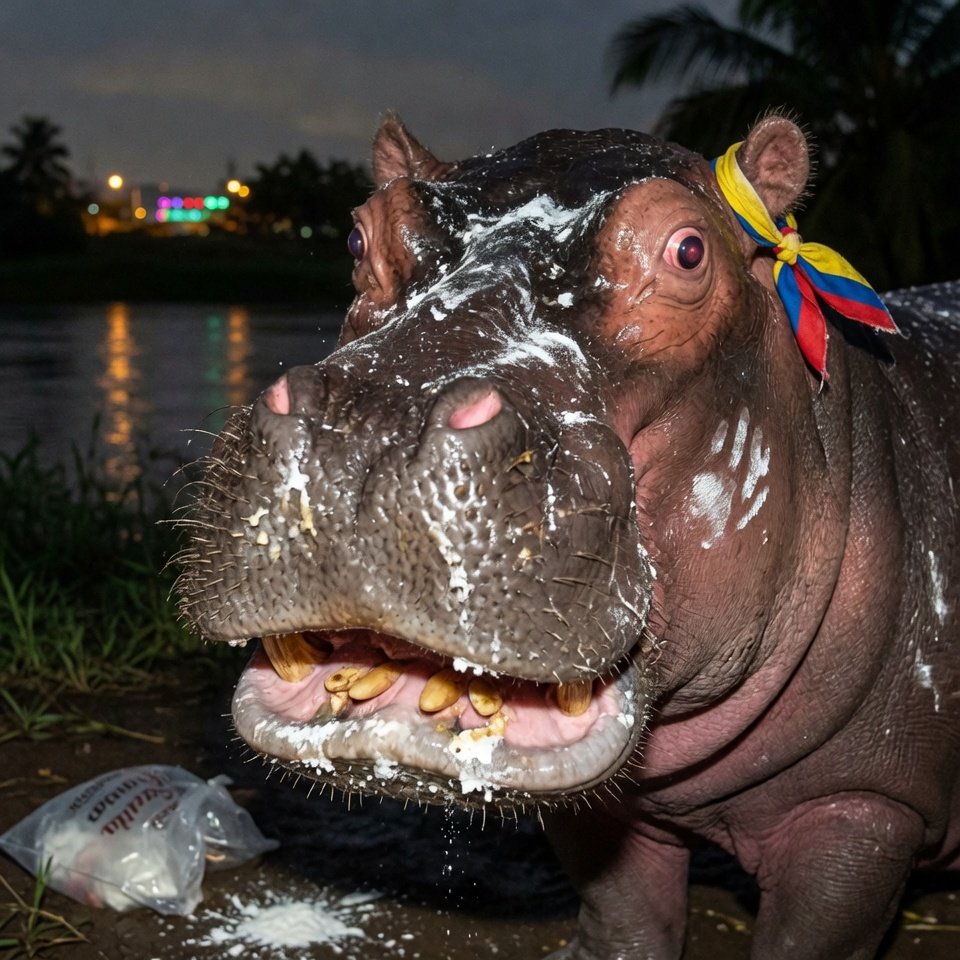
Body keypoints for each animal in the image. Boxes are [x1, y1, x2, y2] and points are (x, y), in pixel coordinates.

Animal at [176, 113, 960, 959]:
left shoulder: (863, 810)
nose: (366, 430)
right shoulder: (606, 819)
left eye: (689, 249)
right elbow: (624, 911)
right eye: (358, 235)